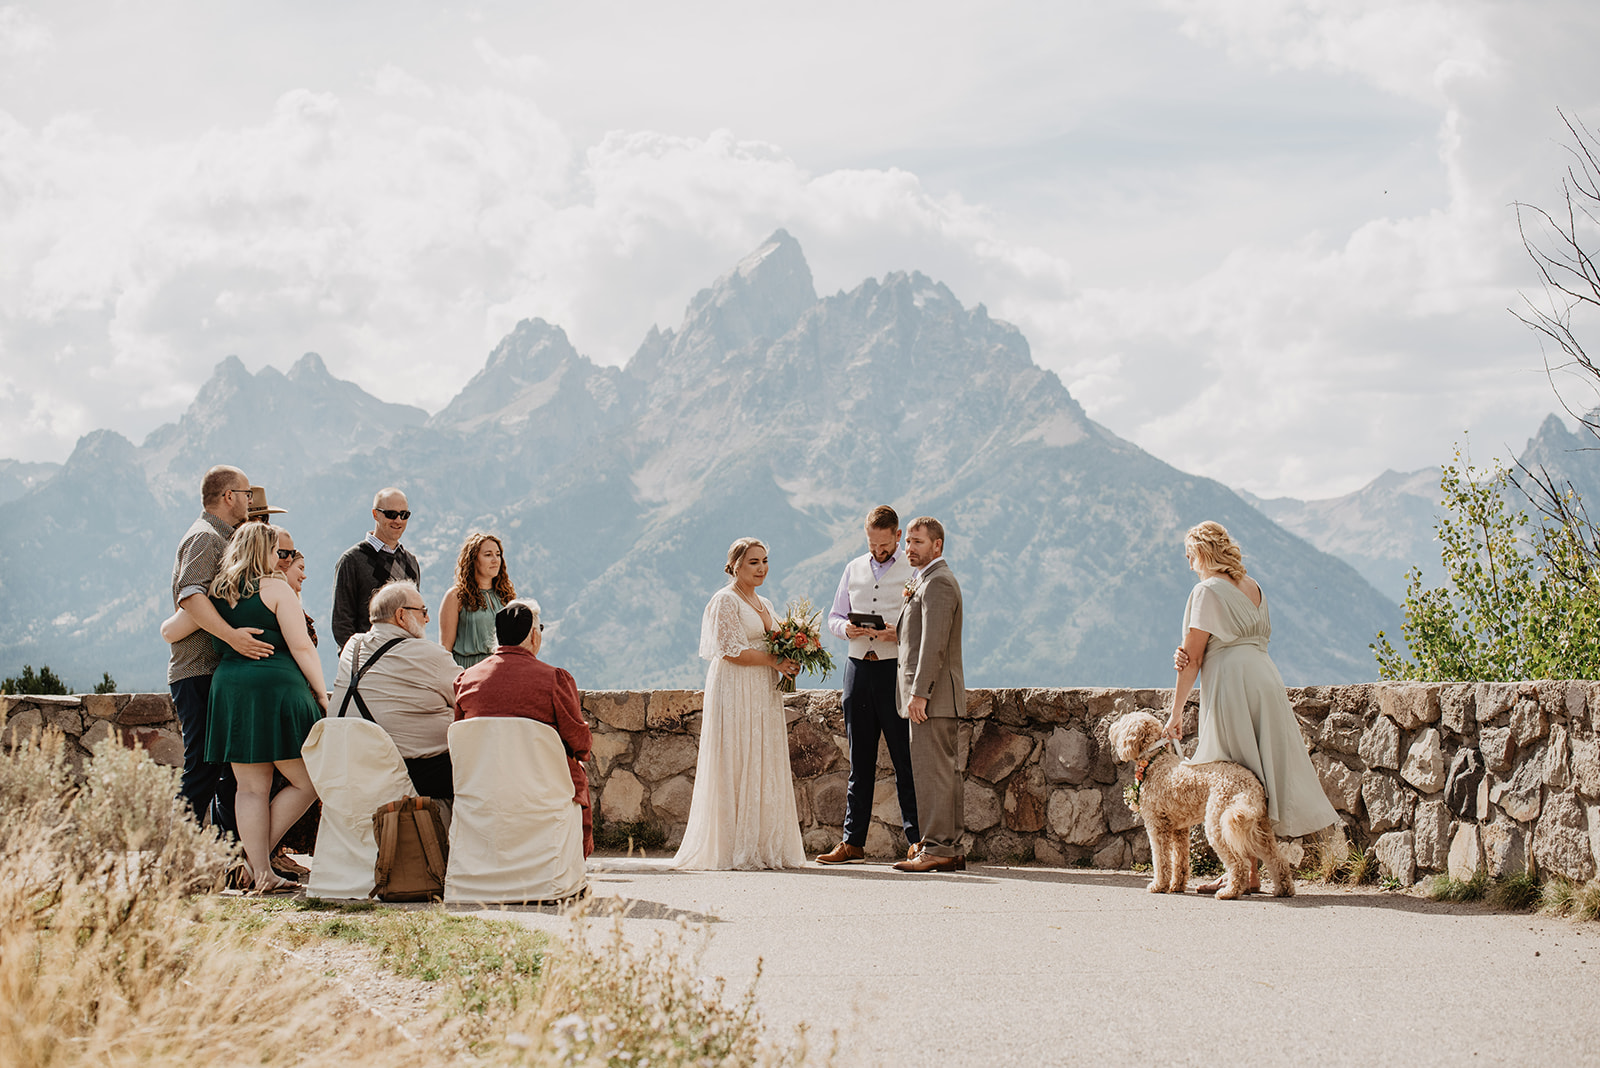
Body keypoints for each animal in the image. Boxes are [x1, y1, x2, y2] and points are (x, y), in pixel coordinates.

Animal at [1120, 709, 1292, 901]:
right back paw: (1283, 889)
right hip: (1259, 827)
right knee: (1277, 859)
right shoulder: (1180, 830)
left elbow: (1161, 858)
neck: (1155, 761)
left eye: (1123, 722)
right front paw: (1176, 886)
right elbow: (1180, 859)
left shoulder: (1156, 826)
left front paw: (1158, 885)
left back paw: (1230, 892)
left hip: (1218, 825)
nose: (1113, 727)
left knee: (1240, 863)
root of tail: (1249, 785)